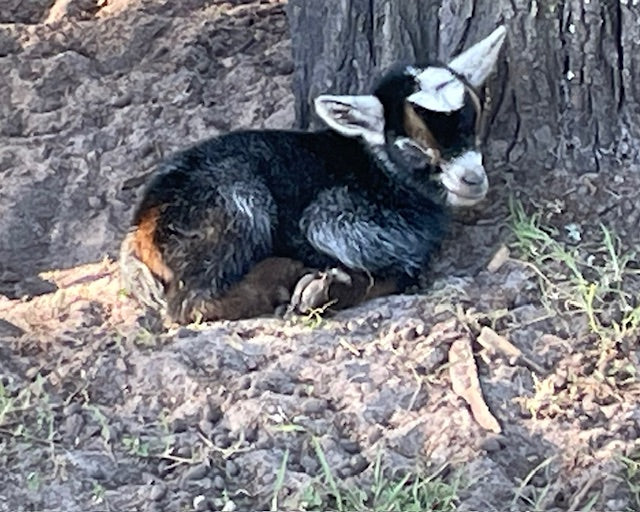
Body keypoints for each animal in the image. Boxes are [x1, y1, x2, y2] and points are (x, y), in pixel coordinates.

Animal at [120, 26, 507, 324]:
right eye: (411, 146)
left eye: (475, 121)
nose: (472, 180)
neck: (380, 171)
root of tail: (141, 225)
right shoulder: (339, 215)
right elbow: (395, 270)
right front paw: (324, 290)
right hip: (235, 205)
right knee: (189, 303)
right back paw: (282, 280)